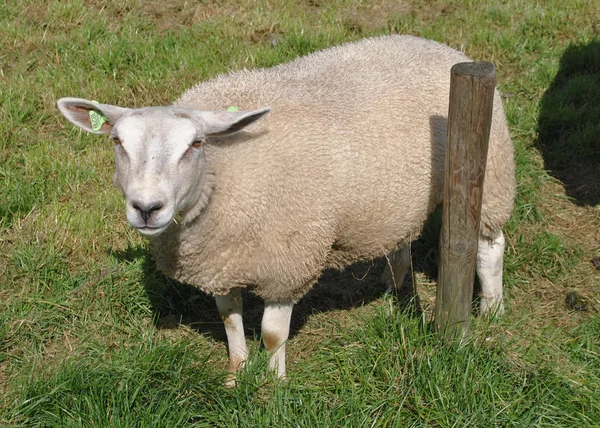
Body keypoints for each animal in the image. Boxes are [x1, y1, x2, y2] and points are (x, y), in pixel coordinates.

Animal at [57, 35, 516, 384]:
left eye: (195, 144)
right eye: (117, 141)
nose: (147, 208)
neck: (223, 177)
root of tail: (435, 44)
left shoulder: (287, 262)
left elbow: (273, 335)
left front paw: (274, 385)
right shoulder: (222, 260)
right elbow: (229, 319)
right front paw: (236, 372)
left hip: (490, 172)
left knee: (490, 246)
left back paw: (493, 310)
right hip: (392, 197)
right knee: (399, 238)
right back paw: (394, 287)